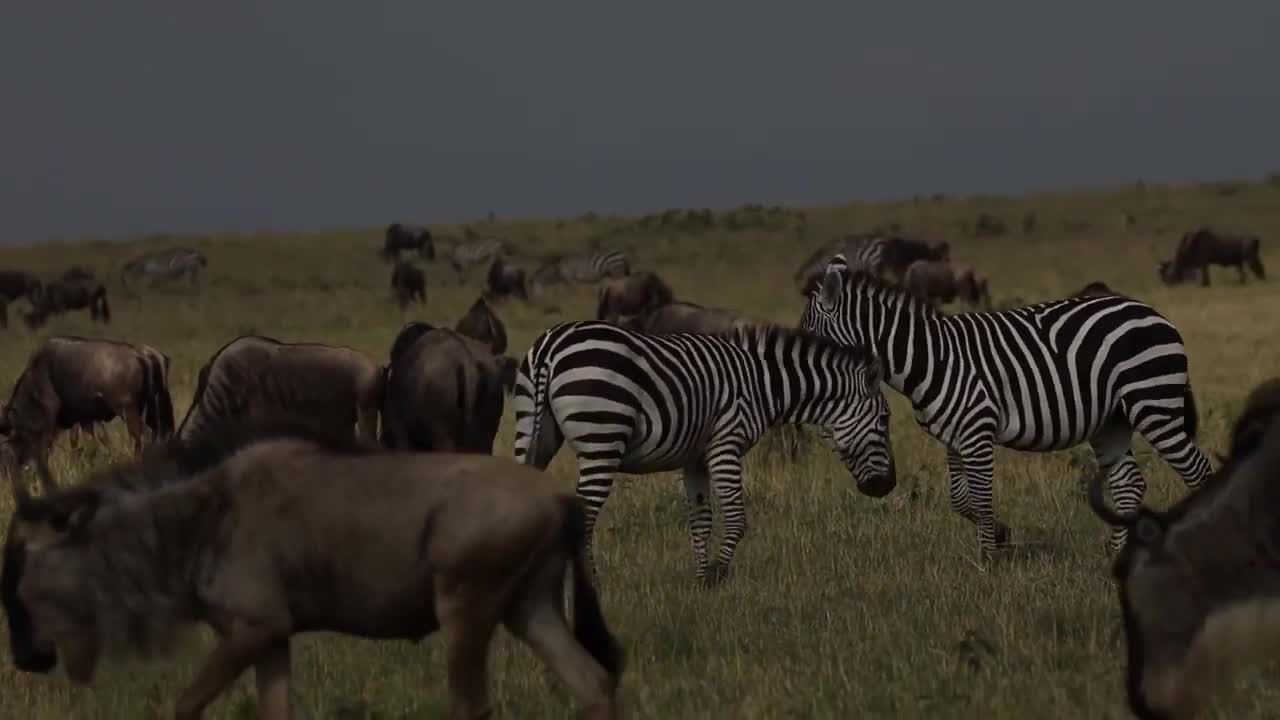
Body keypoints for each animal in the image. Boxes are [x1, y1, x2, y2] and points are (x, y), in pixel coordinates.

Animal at [509, 317, 890, 584]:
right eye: (885, 420)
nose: (887, 487)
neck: (762, 385)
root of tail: (551, 347)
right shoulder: (726, 442)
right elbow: (736, 516)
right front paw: (718, 575)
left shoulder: (695, 457)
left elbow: (701, 519)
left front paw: (701, 577)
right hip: (602, 436)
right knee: (584, 517)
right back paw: (592, 585)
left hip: (532, 431)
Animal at [798, 254, 1208, 550]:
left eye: (809, 337)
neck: (931, 358)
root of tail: (1152, 312)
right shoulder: (953, 437)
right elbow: (960, 498)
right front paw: (1000, 535)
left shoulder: (977, 432)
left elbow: (980, 497)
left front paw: (987, 560)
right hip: (1112, 422)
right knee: (1129, 485)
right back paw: (1118, 551)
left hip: (1153, 405)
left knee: (1198, 471)